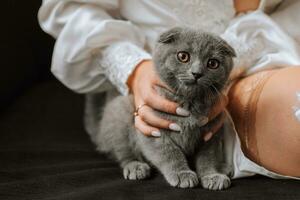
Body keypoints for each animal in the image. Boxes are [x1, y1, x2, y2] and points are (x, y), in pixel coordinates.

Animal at [85, 27, 236, 190]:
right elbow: (169, 152)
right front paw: (181, 174)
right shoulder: (152, 130)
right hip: (120, 112)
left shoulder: (211, 133)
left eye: (213, 63)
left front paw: (212, 175)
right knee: (123, 153)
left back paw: (223, 167)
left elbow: (208, 157)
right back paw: (135, 166)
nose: (196, 73)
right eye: (183, 56)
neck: (188, 104)